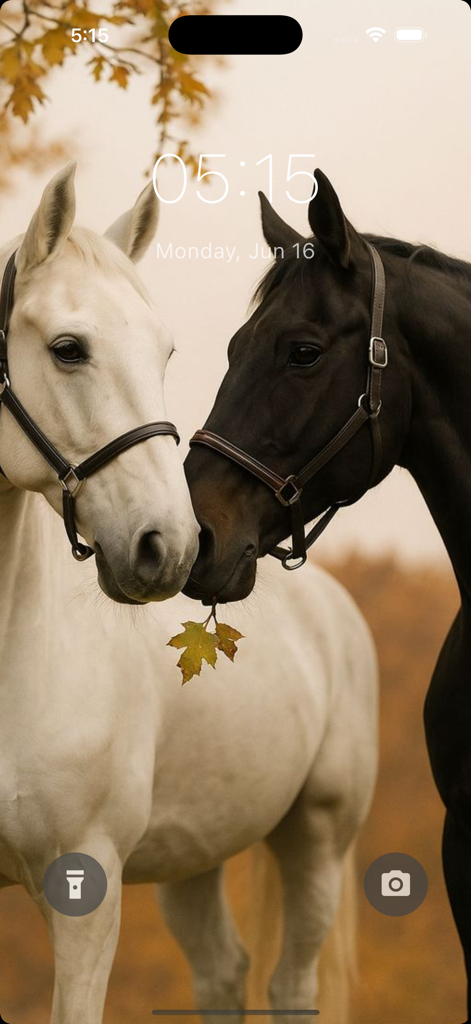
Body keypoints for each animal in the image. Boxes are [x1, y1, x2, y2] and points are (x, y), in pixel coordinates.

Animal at [0, 166, 378, 1023]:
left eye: (164, 351)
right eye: (68, 349)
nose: (168, 545)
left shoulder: (87, 889)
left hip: (315, 841)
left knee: (289, 984)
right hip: (190, 859)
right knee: (222, 974)